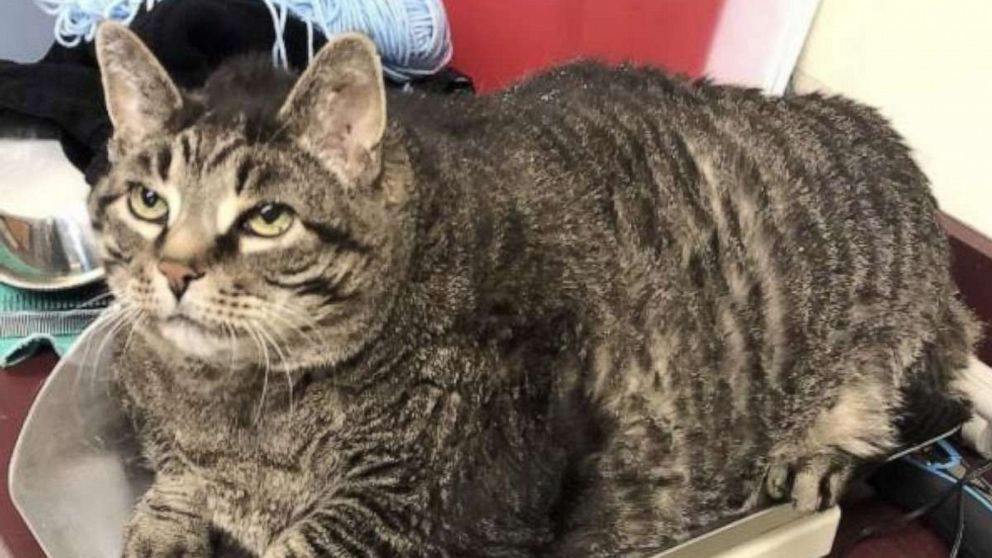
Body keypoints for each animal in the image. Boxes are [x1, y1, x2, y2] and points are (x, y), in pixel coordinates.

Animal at [91, 19, 976, 556]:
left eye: (268, 218)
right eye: (148, 202)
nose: (176, 271)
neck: (230, 403)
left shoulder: (429, 509)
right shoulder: (169, 430)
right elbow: (174, 480)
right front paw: (167, 519)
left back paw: (816, 460)